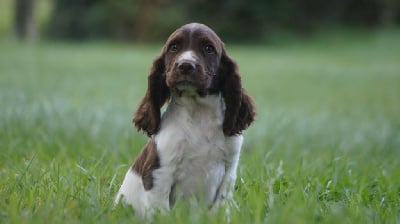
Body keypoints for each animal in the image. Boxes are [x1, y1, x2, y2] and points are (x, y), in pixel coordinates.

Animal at [114, 22, 255, 217]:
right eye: (174, 47)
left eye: (208, 48)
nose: (186, 65)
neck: (198, 114)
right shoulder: (160, 171)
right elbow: (161, 210)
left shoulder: (229, 169)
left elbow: (220, 205)